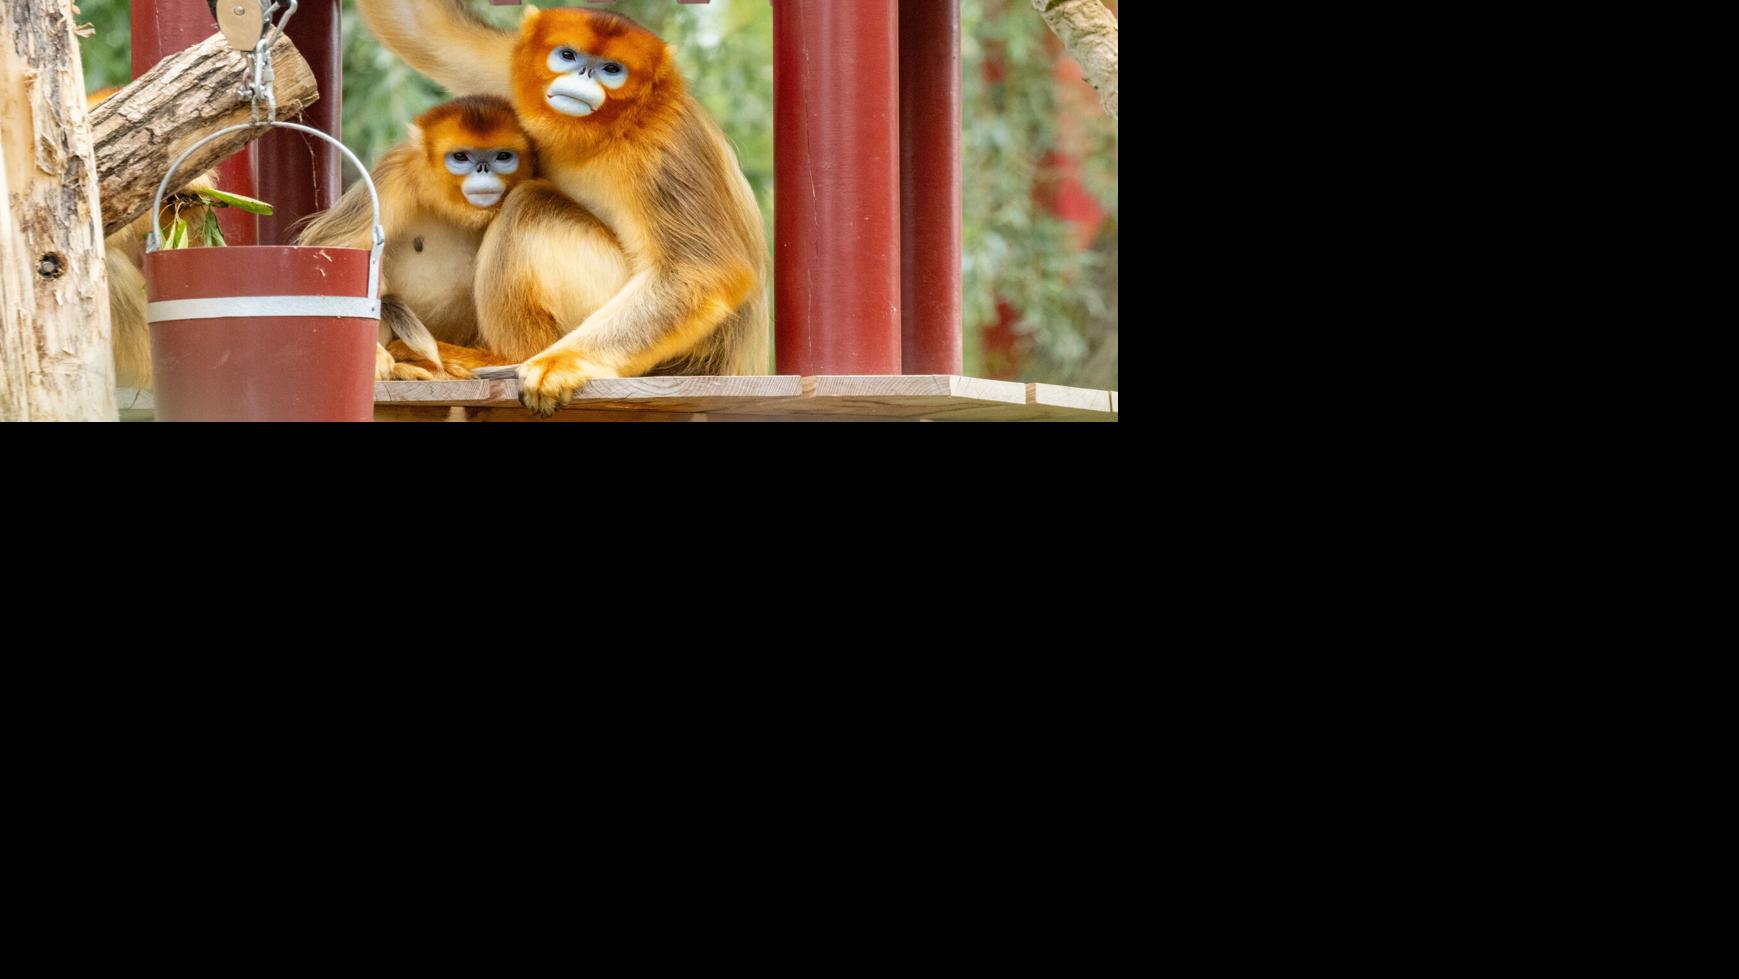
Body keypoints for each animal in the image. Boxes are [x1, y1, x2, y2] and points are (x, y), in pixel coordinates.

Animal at [358, 1, 768, 416]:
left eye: (611, 69)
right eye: (568, 56)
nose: (583, 75)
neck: (601, 132)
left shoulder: (662, 146)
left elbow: (701, 271)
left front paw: (564, 363)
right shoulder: (507, 69)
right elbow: (423, 29)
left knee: (529, 204)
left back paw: (501, 356)